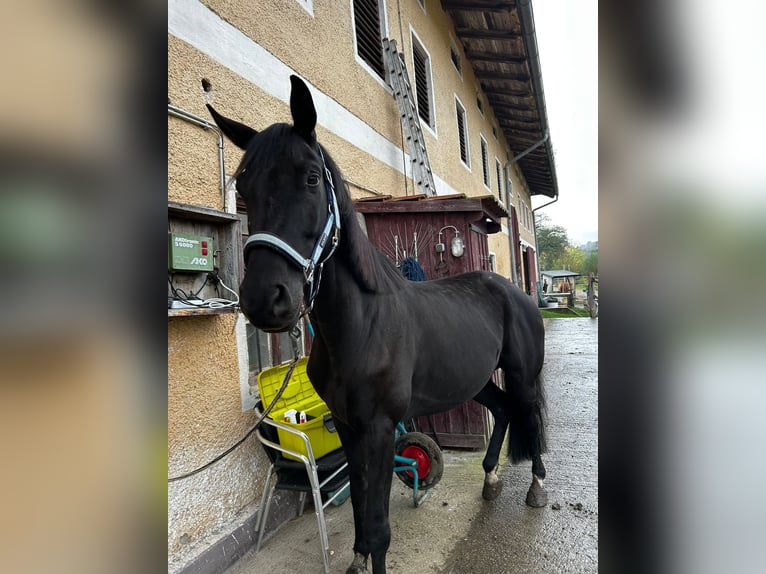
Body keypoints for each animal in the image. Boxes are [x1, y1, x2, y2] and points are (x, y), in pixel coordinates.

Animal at [207, 77, 548, 574]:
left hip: (522, 374)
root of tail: (513, 290)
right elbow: (359, 504)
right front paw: (357, 558)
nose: (264, 299)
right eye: (244, 184)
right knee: (503, 410)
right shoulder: (349, 427)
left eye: (312, 178)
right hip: (475, 379)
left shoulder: (382, 429)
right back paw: (489, 480)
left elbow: (380, 522)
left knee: (530, 415)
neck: (359, 328)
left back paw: (537, 488)